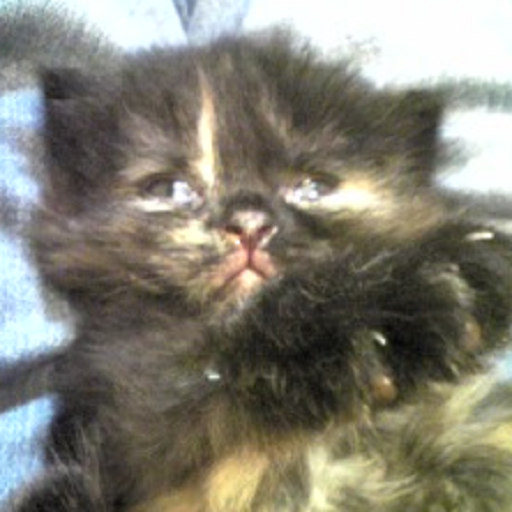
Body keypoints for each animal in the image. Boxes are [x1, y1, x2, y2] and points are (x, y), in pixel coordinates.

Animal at [3, 8, 512, 512]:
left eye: (313, 187)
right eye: (172, 189)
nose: (249, 223)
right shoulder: (123, 408)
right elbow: (217, 359)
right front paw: (396, 300)